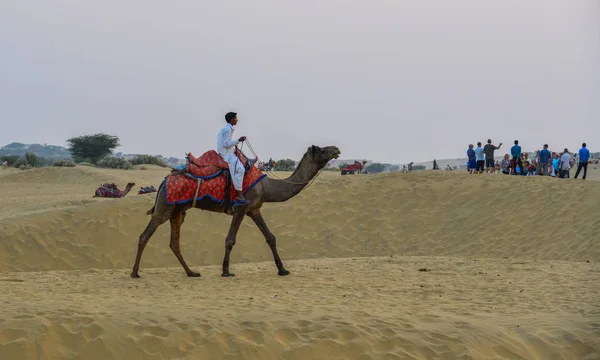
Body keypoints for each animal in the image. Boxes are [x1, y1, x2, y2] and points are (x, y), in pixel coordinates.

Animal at [129, 145, 340, 278]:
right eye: (321, 149)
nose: (337, 149)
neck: (266, 186)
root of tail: (164, 181)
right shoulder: (242, 207)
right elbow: (230, 239)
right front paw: (225, 271)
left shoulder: (254, 209)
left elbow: (270, 237)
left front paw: (282, 269)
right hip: (164, 208)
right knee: (145, 235)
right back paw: (135, 272)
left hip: (178, 211)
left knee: (174, 242)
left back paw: (191, 273)